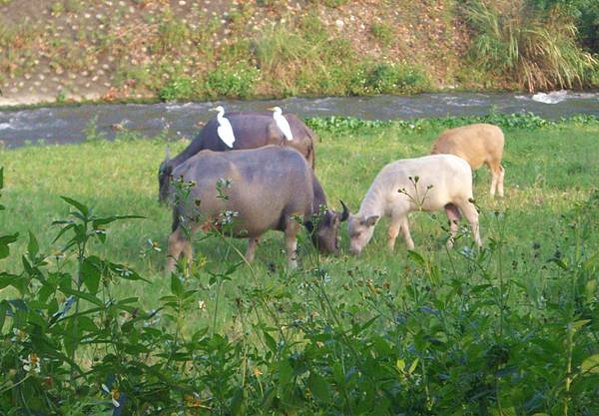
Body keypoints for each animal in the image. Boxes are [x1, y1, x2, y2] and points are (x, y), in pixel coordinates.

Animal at [166, 146, 350, 270]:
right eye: (337, 228)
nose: (337, 251)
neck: (307, 182)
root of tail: (186, 167)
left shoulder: (258, 225)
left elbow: (253, 242)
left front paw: (248, 263)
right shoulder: (293, 217)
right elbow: (291, 245)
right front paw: (293, 267)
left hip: (185, 221)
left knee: (187, 243)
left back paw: (190, 267)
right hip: (194, 219)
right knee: (176, 241)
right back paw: (170, 272)